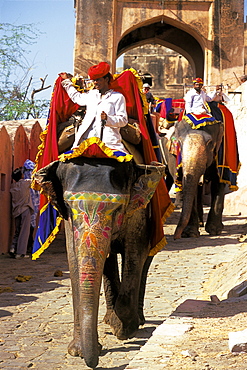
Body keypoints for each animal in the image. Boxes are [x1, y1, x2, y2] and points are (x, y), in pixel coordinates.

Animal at [34, 158, 166, 368]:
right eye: (68, 206)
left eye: (118, 209)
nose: (95, 360)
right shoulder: (69, 222)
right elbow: (74, 259)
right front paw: (78, 351)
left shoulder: (139, 212)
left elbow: (135, 251)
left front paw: (123, 330)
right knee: (108, 261)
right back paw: (108, 319)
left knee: (146, 258)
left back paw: (136, 321)